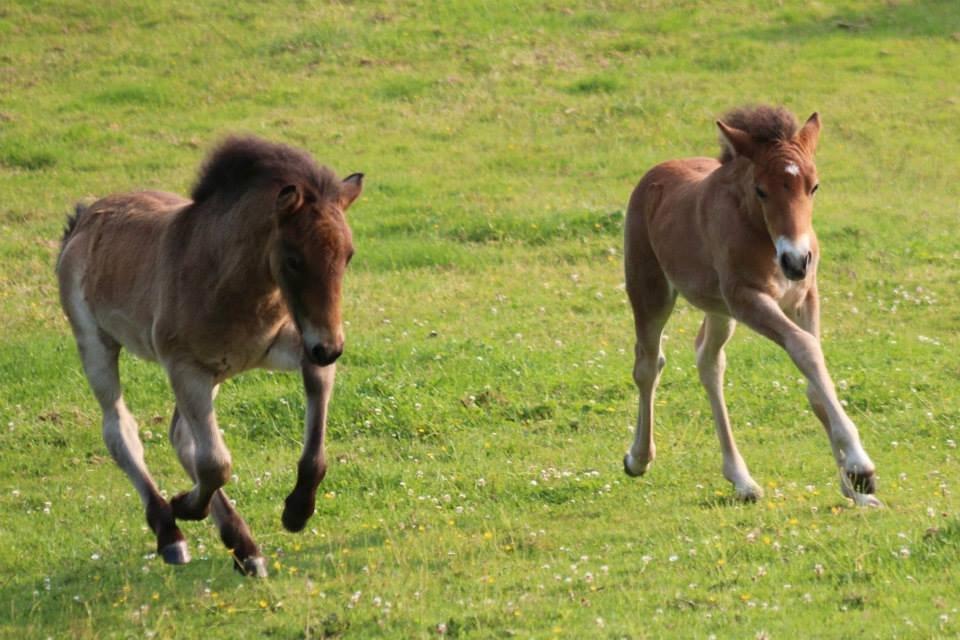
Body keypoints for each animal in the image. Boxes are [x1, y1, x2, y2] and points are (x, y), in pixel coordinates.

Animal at [57, 136, 364, 576]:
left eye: (348, 255)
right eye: (293, 259)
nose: (330, 347)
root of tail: (83, 220)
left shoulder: (293, 346)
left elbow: (313, 446)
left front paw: (296, 512)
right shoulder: (185, 369)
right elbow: (216, 463)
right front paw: (184, 506)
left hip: (215, 376)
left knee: (181, 438)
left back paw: (244, 548)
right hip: (96, 344)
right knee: (120, 431)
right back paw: (171, 532)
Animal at [620, 107, 880, 508]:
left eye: (814, 186)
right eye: (761, 190)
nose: (796, 260)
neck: (765, 238)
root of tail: (655, 174)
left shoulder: (805, 295)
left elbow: (814, 377)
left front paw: (854, 487)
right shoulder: (747, 298)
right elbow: (805, 348)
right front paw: (859, 465)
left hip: (719, 309)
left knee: (708, 362)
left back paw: (741, 479)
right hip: (651, 289)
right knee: (648, 364)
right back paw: (638, 457)